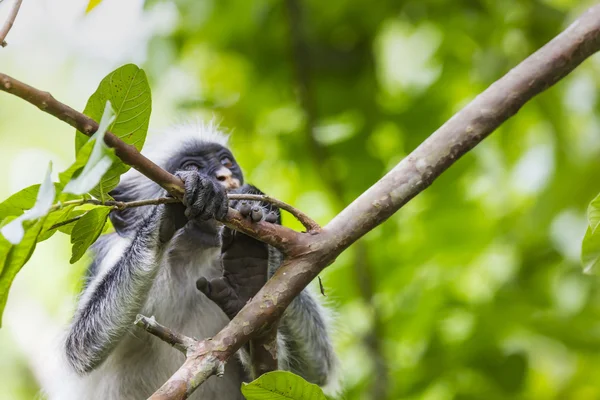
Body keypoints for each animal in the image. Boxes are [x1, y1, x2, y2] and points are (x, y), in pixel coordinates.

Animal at [51, 122, 338, 400]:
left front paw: (266, 214)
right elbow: (80, 349)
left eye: (226, 162)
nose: (224, 177)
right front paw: (173, 204)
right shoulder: (113, 252)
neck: (193, 254)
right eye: (191, 166)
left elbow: (313, 370)